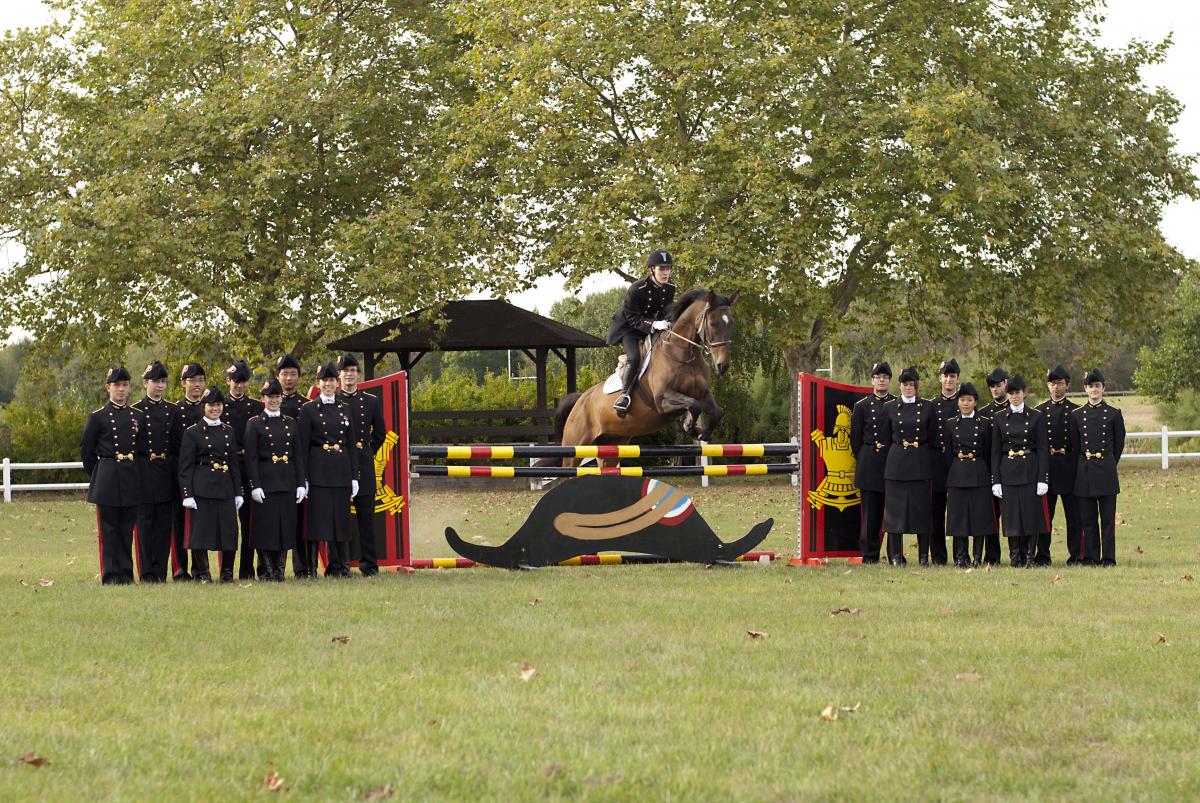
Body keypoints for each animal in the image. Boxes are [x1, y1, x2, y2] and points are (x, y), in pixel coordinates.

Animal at [547, 288, 734, 465]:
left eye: (732, 323)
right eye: (713, 323)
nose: (722, 366)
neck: (683, 354)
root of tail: (580, 400)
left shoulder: (703, 394)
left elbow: (717, 411)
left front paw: (702, 433)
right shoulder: (662, 400)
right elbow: (694, 405)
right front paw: (690, 426)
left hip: (612, 442)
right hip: (576, 444)